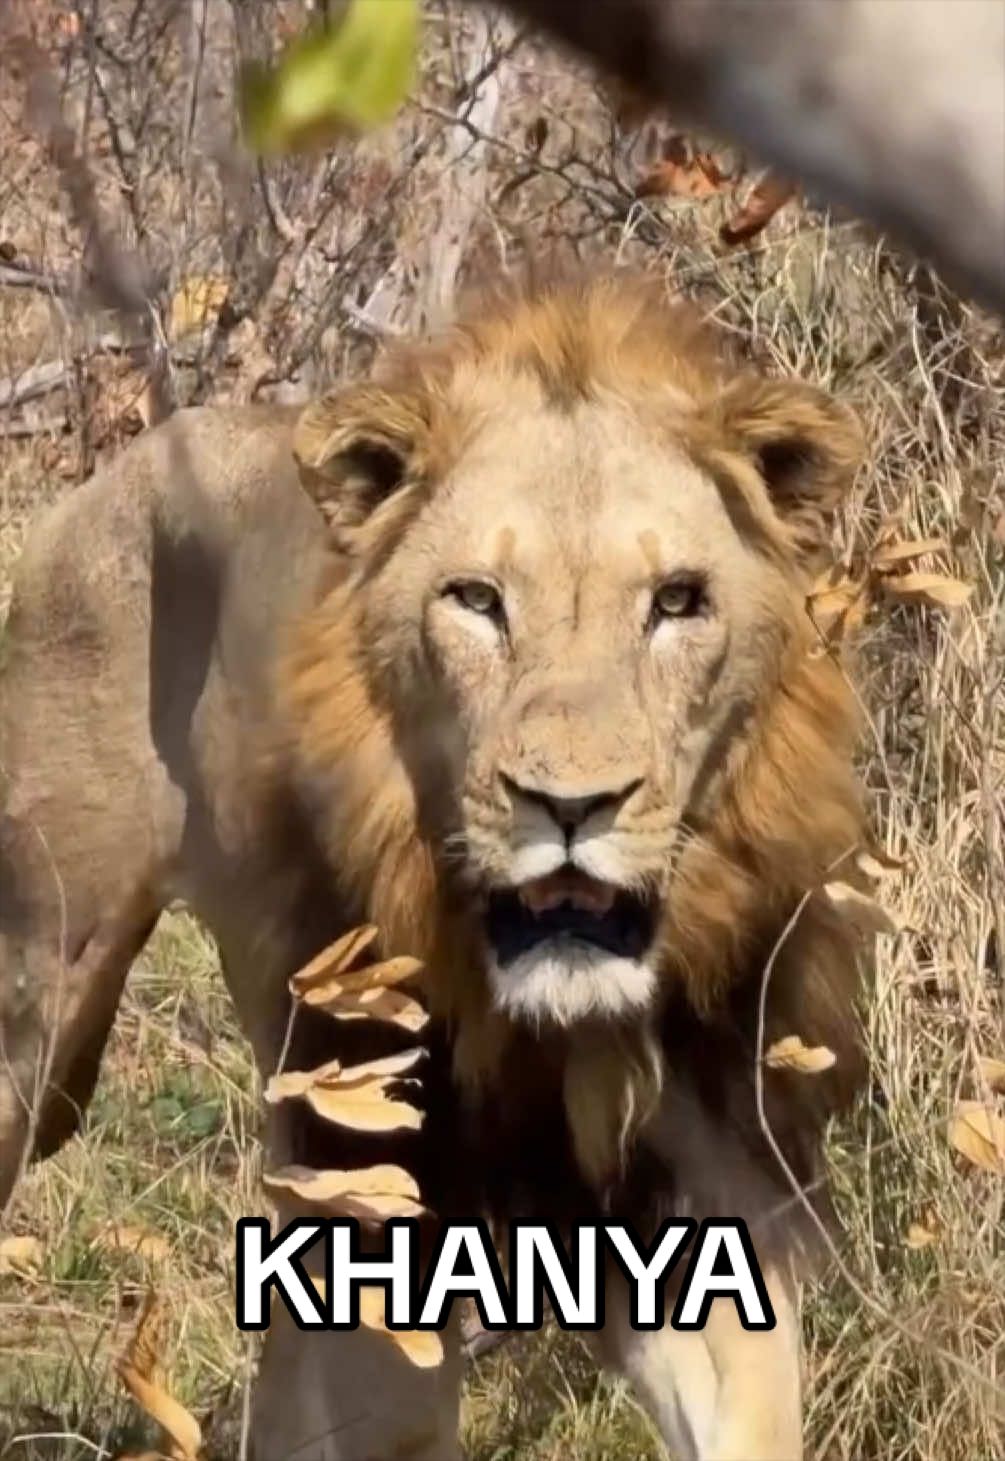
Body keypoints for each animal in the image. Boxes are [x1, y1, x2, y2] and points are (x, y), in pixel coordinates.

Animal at [0, 271, 869, 1461]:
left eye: (677, 600)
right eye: (477, 599)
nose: (571, 805)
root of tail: (121, 465)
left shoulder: (698, 1196)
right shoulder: (381, 1209)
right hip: (41, 999)